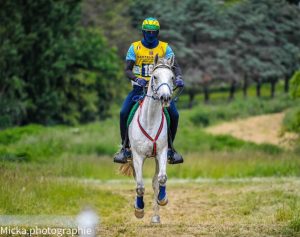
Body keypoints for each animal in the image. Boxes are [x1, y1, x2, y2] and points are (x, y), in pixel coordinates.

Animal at [120, 54, 175, 224]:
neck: (150, 120)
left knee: (155, 182)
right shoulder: (137, 156)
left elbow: (161, 179)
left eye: (172, 77)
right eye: (155, 77)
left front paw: (163, 199)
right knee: (138, 182)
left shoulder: (162, 152)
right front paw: (139, 209)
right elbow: (139, 186)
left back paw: (156, 217)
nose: (165, 97)